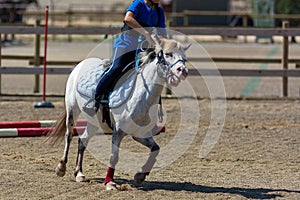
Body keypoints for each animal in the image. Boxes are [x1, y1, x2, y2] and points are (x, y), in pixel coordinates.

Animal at [49, 36, 190, 191]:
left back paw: (79, 173)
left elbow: (155, 149)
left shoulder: (140, 134)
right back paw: (61, 167)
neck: (141, 95)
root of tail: (81, 64)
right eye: (168, 54)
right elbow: (114, 156)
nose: (183, 71)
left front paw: (140, 176)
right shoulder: (119, 130)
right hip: (72, 109)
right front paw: (110, 182)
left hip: (94, 121)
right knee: (68, 136)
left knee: (82, 140)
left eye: (184, 58)